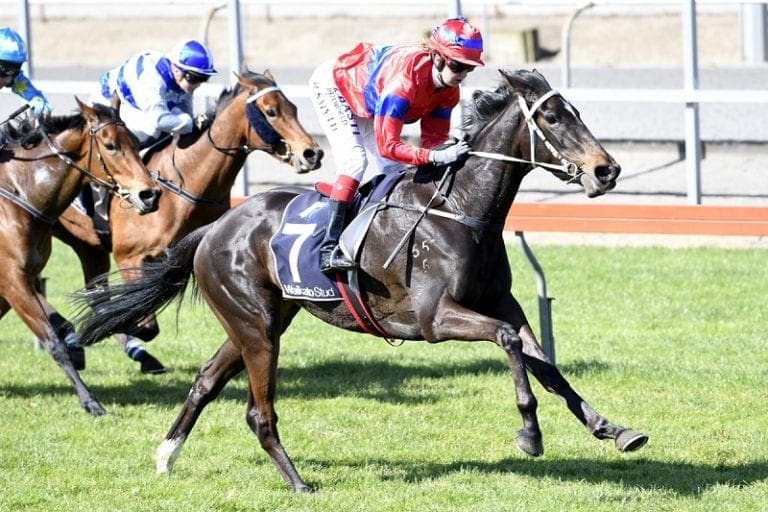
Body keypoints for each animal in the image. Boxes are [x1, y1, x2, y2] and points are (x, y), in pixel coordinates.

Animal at [0, 97, 160, 416]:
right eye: (110, 146)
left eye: (136, 142)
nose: (150, 195)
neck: (19, 194)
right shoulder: (12, 281)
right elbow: (54, 341)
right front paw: (90, 402)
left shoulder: (20, 282)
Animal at [53, 70, 323, 373]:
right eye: (271, 111)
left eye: (294, 108)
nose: (312, 153)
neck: (186, 187)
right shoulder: (130, 256)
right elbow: (145, 324)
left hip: (88, 247)